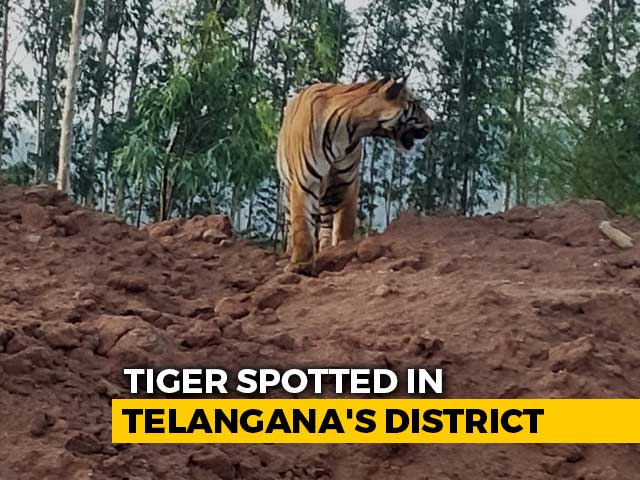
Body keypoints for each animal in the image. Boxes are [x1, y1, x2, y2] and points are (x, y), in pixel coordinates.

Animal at [276, 77, 433, 275]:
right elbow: (302, 226)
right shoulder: (306, 182)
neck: (349, 130)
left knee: (326, 223)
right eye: (416, 105)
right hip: (289, 189)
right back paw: (288, 253)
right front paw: (299, 265)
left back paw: (326, 249)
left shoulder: (347, 182)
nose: (432, 124)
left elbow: (344, 223)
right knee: (290, 222)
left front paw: (341, 250)